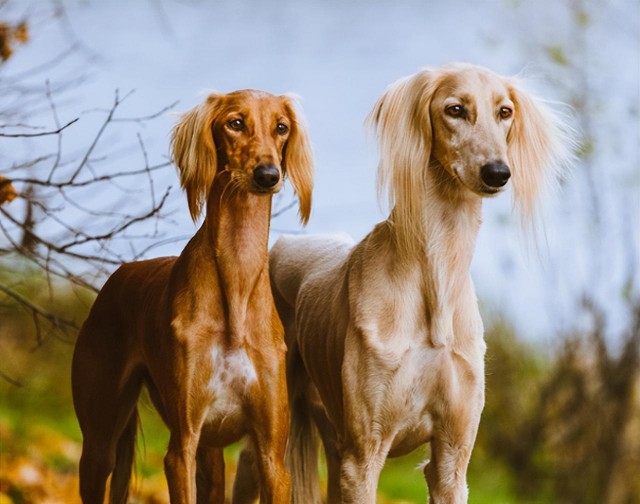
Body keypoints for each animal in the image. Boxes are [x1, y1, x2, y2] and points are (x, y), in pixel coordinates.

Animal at [71, 88, 314, 502]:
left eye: (281, 127)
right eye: (235, 123)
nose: (268, 175)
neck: (236, 279)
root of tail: (121, 272)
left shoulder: (272, 459)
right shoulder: (181, 447)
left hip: (211, 457)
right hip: (100, 444)